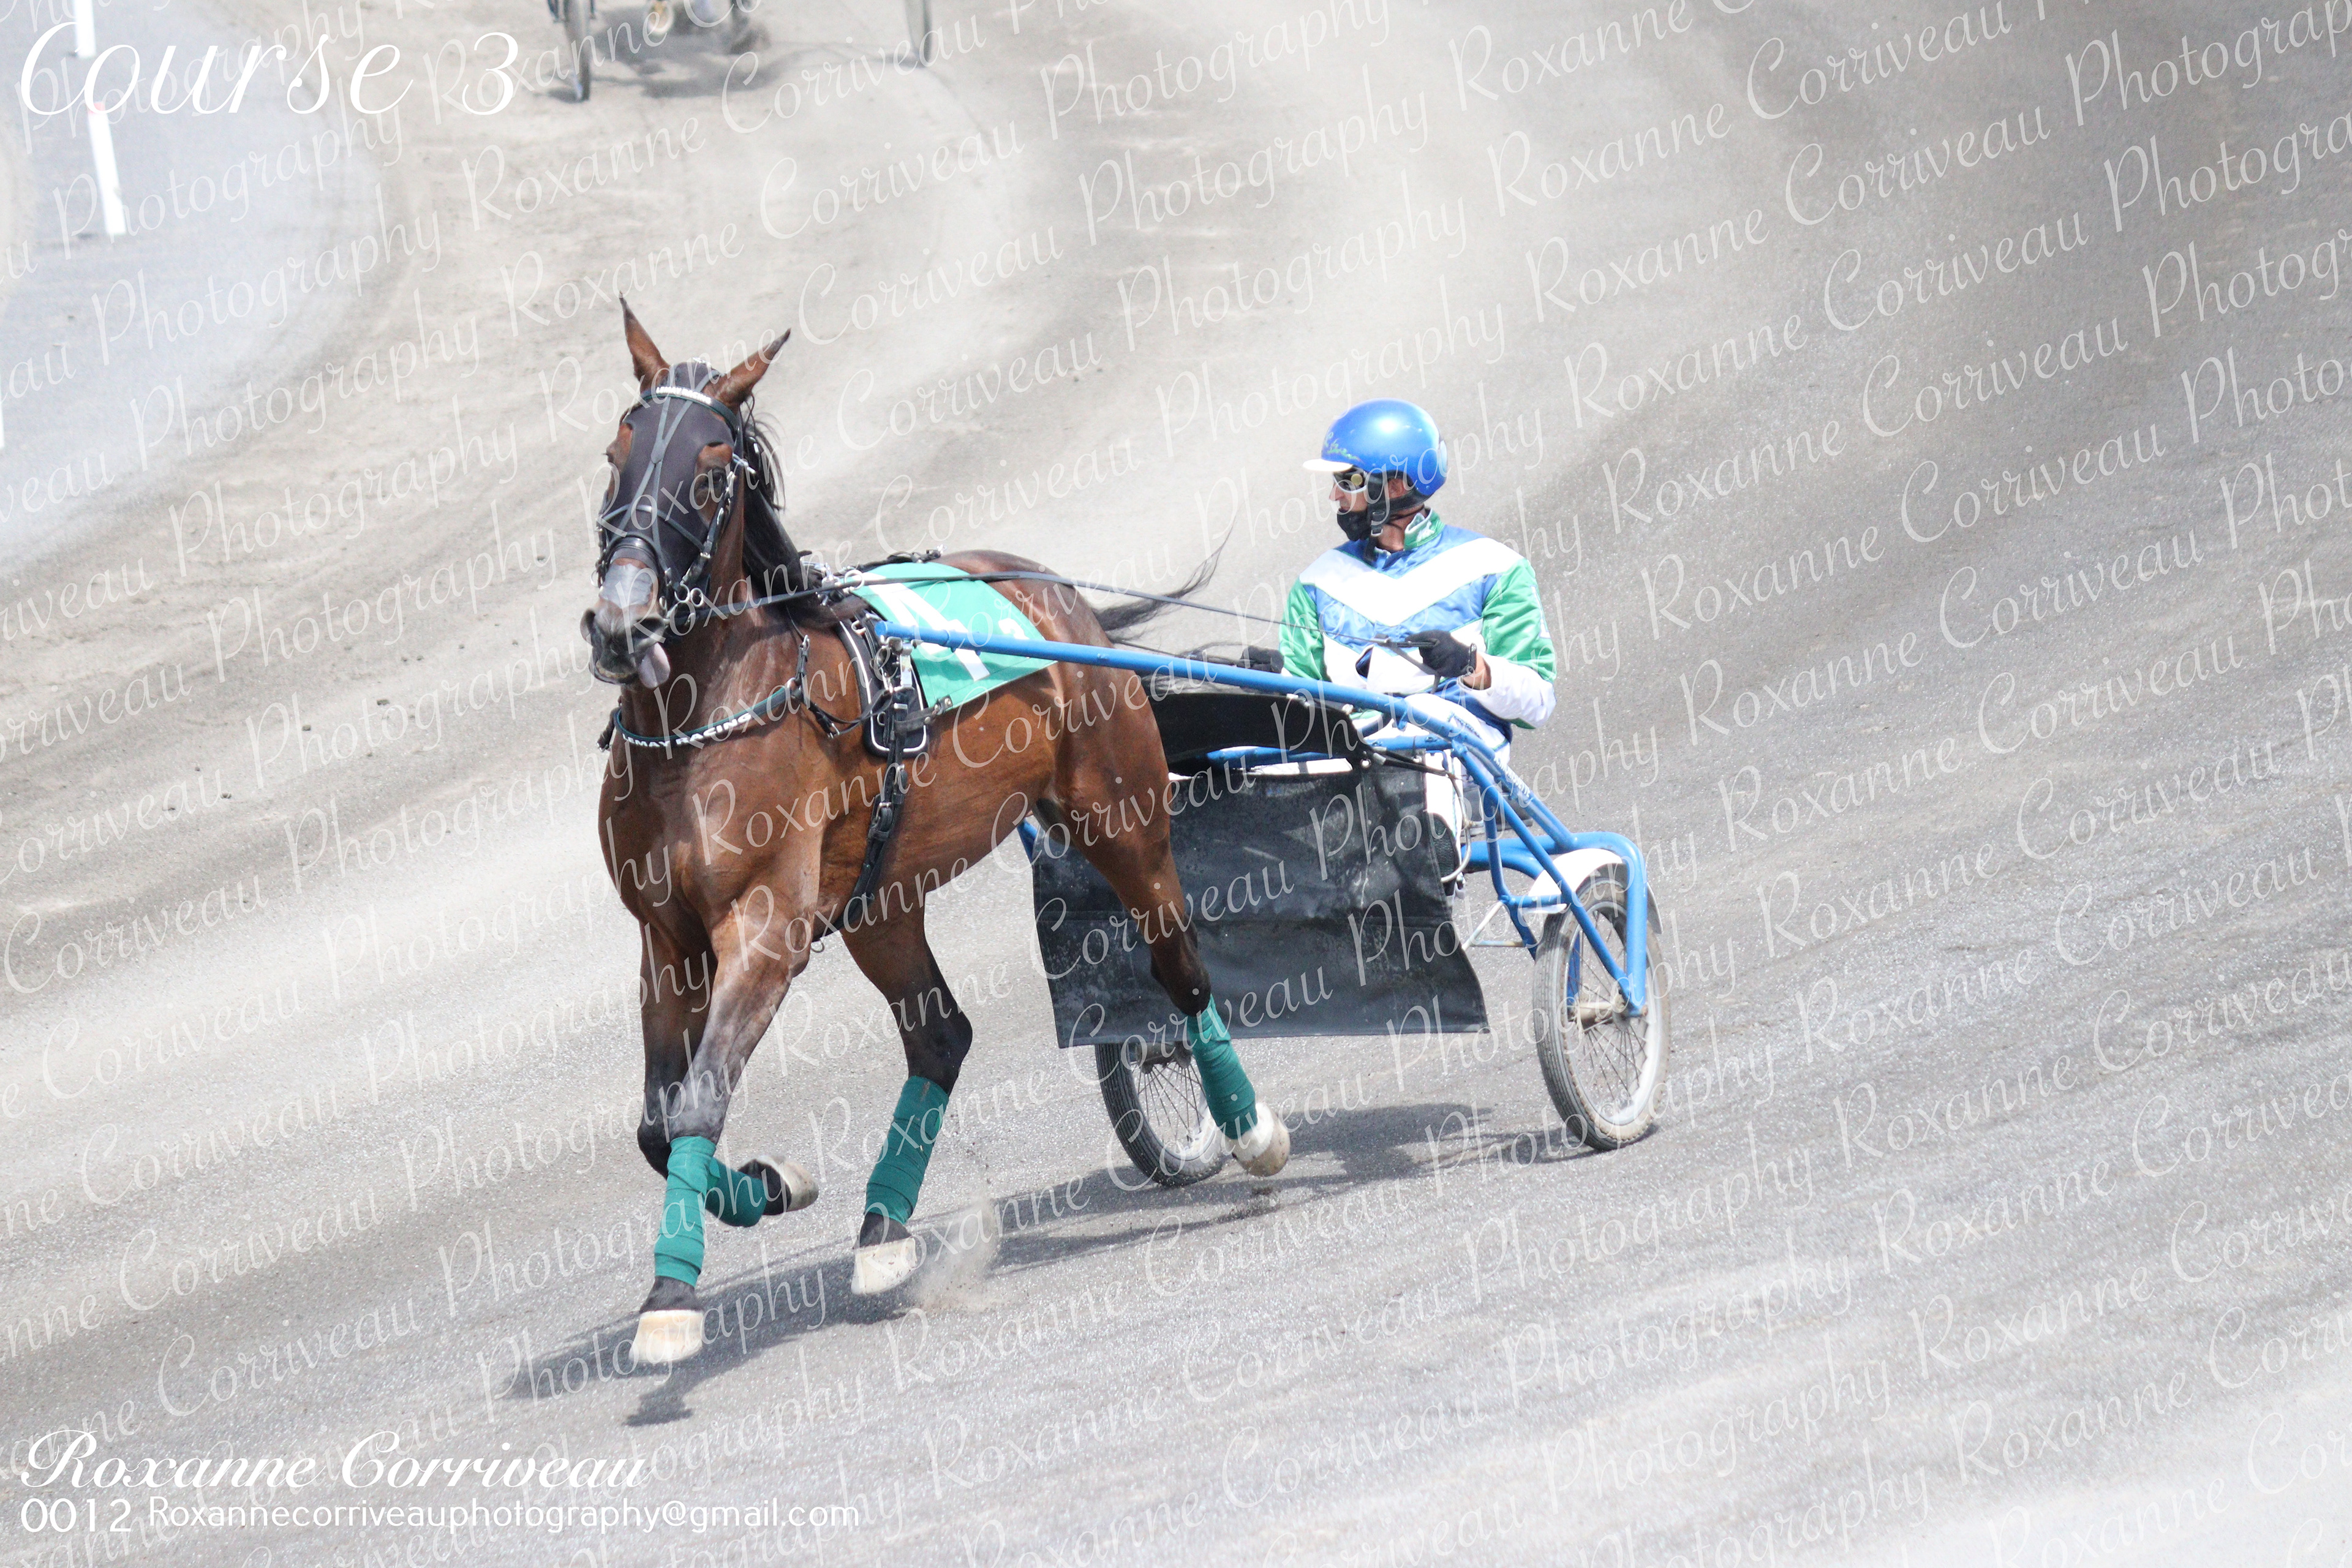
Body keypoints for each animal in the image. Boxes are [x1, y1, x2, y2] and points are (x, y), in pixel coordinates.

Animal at [581, 305, 1290, 1364]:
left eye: (709, 472)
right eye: (617, 454)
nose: (621, 625)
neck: (700, 723)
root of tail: (1050, 591)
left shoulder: (766, 927)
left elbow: (700, 1098)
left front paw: (672, 1296)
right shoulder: (664, 939)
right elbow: (659, 1126)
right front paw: (773, 1184)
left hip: (1120, 815)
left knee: (1181, 970)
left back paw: (1248, 1129)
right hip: (882, 898)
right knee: (942, 1035)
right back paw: (883, 1230)